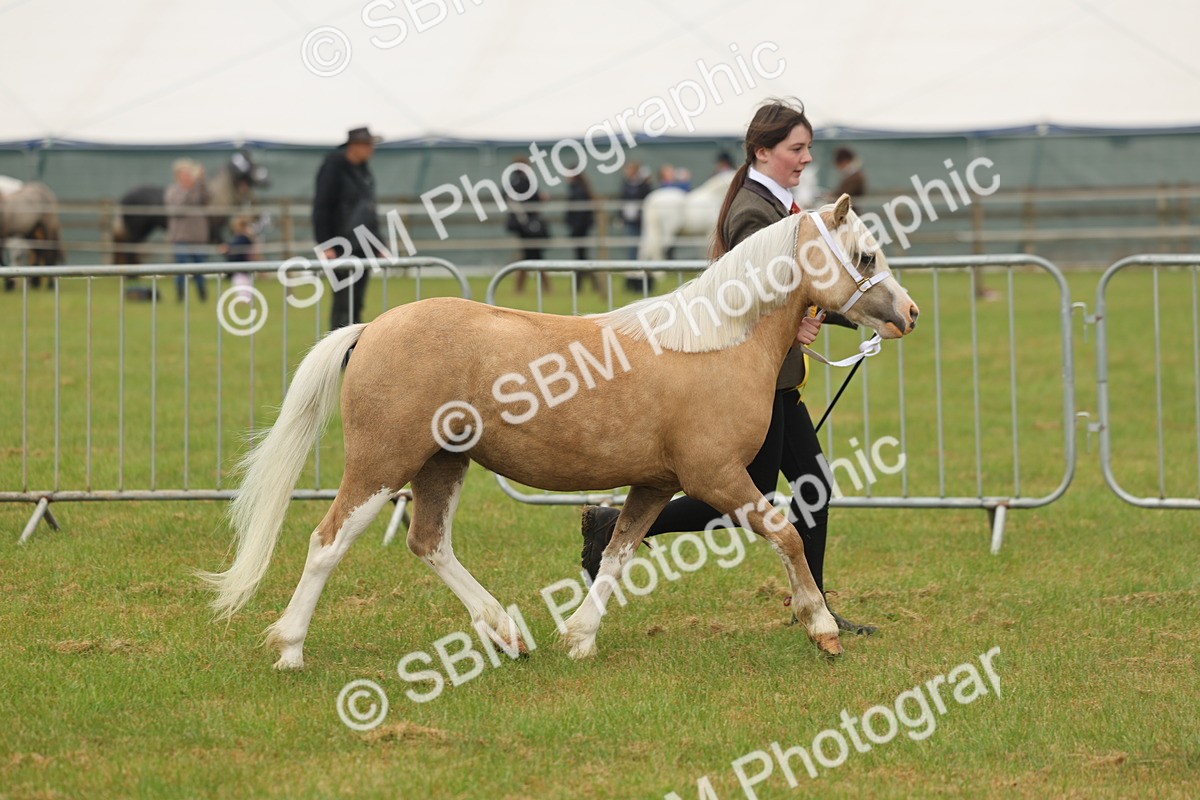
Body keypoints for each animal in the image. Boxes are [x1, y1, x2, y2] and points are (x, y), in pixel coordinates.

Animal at [111, 150, 269, 264]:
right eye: (246, 165)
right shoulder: (213, 230)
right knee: (129, 246)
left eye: (252, 162)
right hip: (137, 230)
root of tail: (124, 197)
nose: (267, 180)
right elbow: (221, 248)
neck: (216, 196)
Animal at [201, 194, 919, 670]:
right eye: (866, 253)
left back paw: (505, 633)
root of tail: (372, 328)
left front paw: (578, 636)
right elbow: (786, 534)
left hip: (442, 463)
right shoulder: (716, 477)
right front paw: (820, 626)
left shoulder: (656, 485)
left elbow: (619, 553)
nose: (909, 313)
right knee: (328, 542)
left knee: (429, 542)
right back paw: (290, 647)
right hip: (383, 463)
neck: (716, 343)